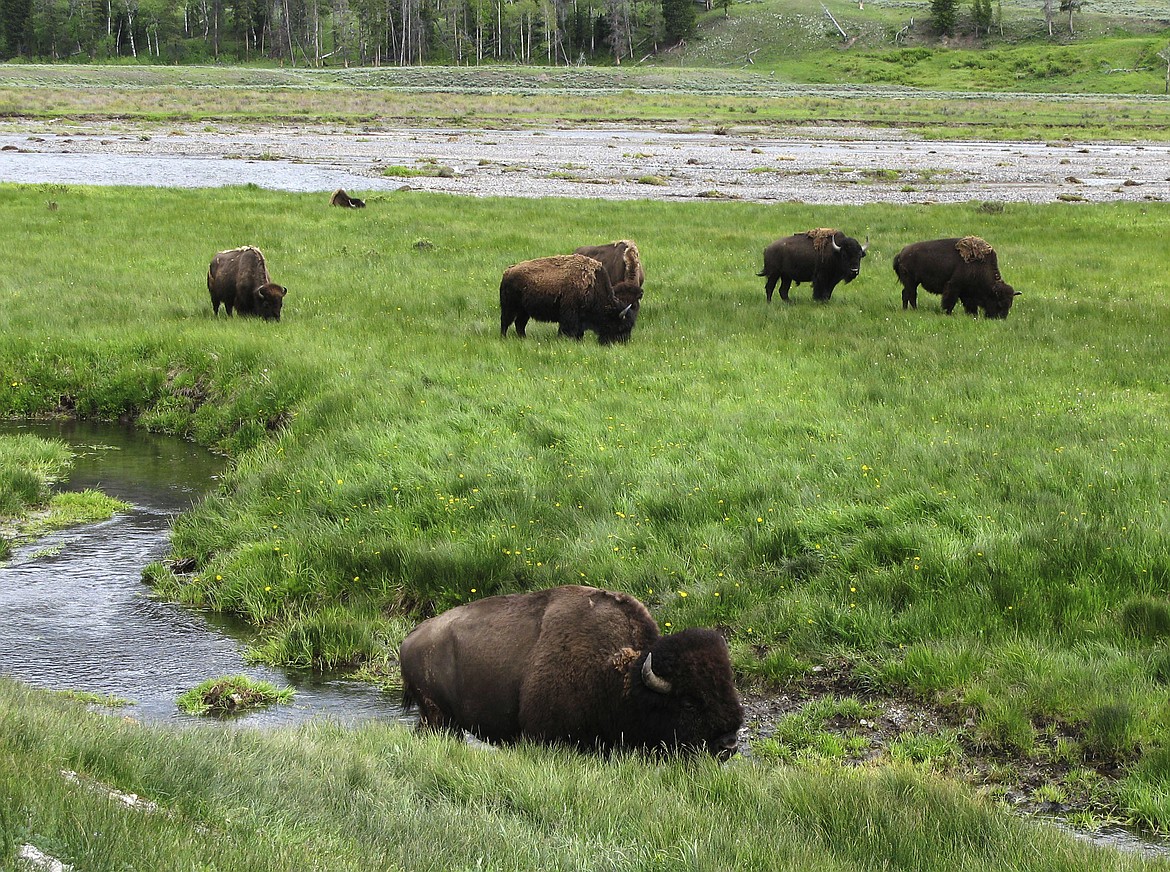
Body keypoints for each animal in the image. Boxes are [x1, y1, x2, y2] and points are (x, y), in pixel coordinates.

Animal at [498, 251, 645, 344]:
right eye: (620, 327)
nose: (621, 343)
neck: (593, 285)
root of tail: (508, 271)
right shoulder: (570, 315)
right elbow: (568, 329)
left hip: (524, 311)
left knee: (519, 324)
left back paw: (523, 338)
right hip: (510, 308)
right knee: (506, 323)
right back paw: (504, 338)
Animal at [889, 236, 1020, 318]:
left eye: (1010, 304)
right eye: (999, 303)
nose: (1000, 318)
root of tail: (901, 253)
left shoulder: (967, 293)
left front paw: (973, 315)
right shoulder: (953, 287)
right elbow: (949, 302)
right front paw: (948, 313)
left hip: (912, 282)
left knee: (907, 294)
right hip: (911, 282)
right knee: (910, 295)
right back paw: (913, 310)